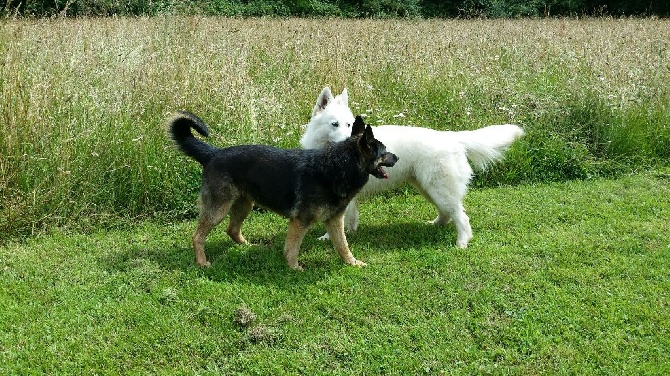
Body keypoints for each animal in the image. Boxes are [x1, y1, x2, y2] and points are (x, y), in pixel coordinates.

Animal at [169, 111, 400, 270]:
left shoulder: (334, 220)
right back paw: (202, 262)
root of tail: (213, 153)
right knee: (197, 236)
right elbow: (292, 248)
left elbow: (343, 246)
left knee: (232, 230)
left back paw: (249, 246)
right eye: (384, 152)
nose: (397, 157)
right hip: (218, 210)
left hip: (244, 205)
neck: (339, 167)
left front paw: (352, 263)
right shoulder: (300, 222)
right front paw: (294, 268)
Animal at [302, 86, 528, 248]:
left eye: (349, 125)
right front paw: (349, 232)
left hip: (439, 189)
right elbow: (349, 218)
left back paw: (462, 243)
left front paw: (328, 238)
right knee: (446, 213)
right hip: (427, 189)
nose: (351, 141)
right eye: (334, 124)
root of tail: (452, 137)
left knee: (461, 217)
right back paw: (435, 225)